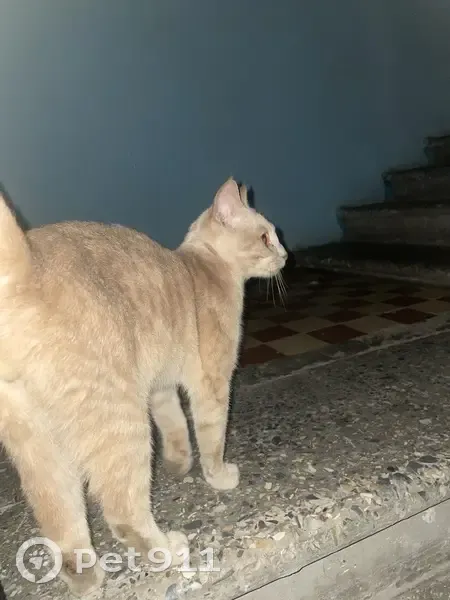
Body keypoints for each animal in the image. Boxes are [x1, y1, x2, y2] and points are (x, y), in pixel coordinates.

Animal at [0, 177, 287, 596]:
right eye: (265, 236)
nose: (284, 253)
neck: (207, 266)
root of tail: (26, 266)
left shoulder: (160, 388)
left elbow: (176, 428)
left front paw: (178, 465)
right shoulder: (212, 383)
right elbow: (211, 437)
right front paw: (217, 477)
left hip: (40, 449)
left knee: (63, 528)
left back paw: (88, 581)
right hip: (121, 422)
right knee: (124, 513)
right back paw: (168, 549)